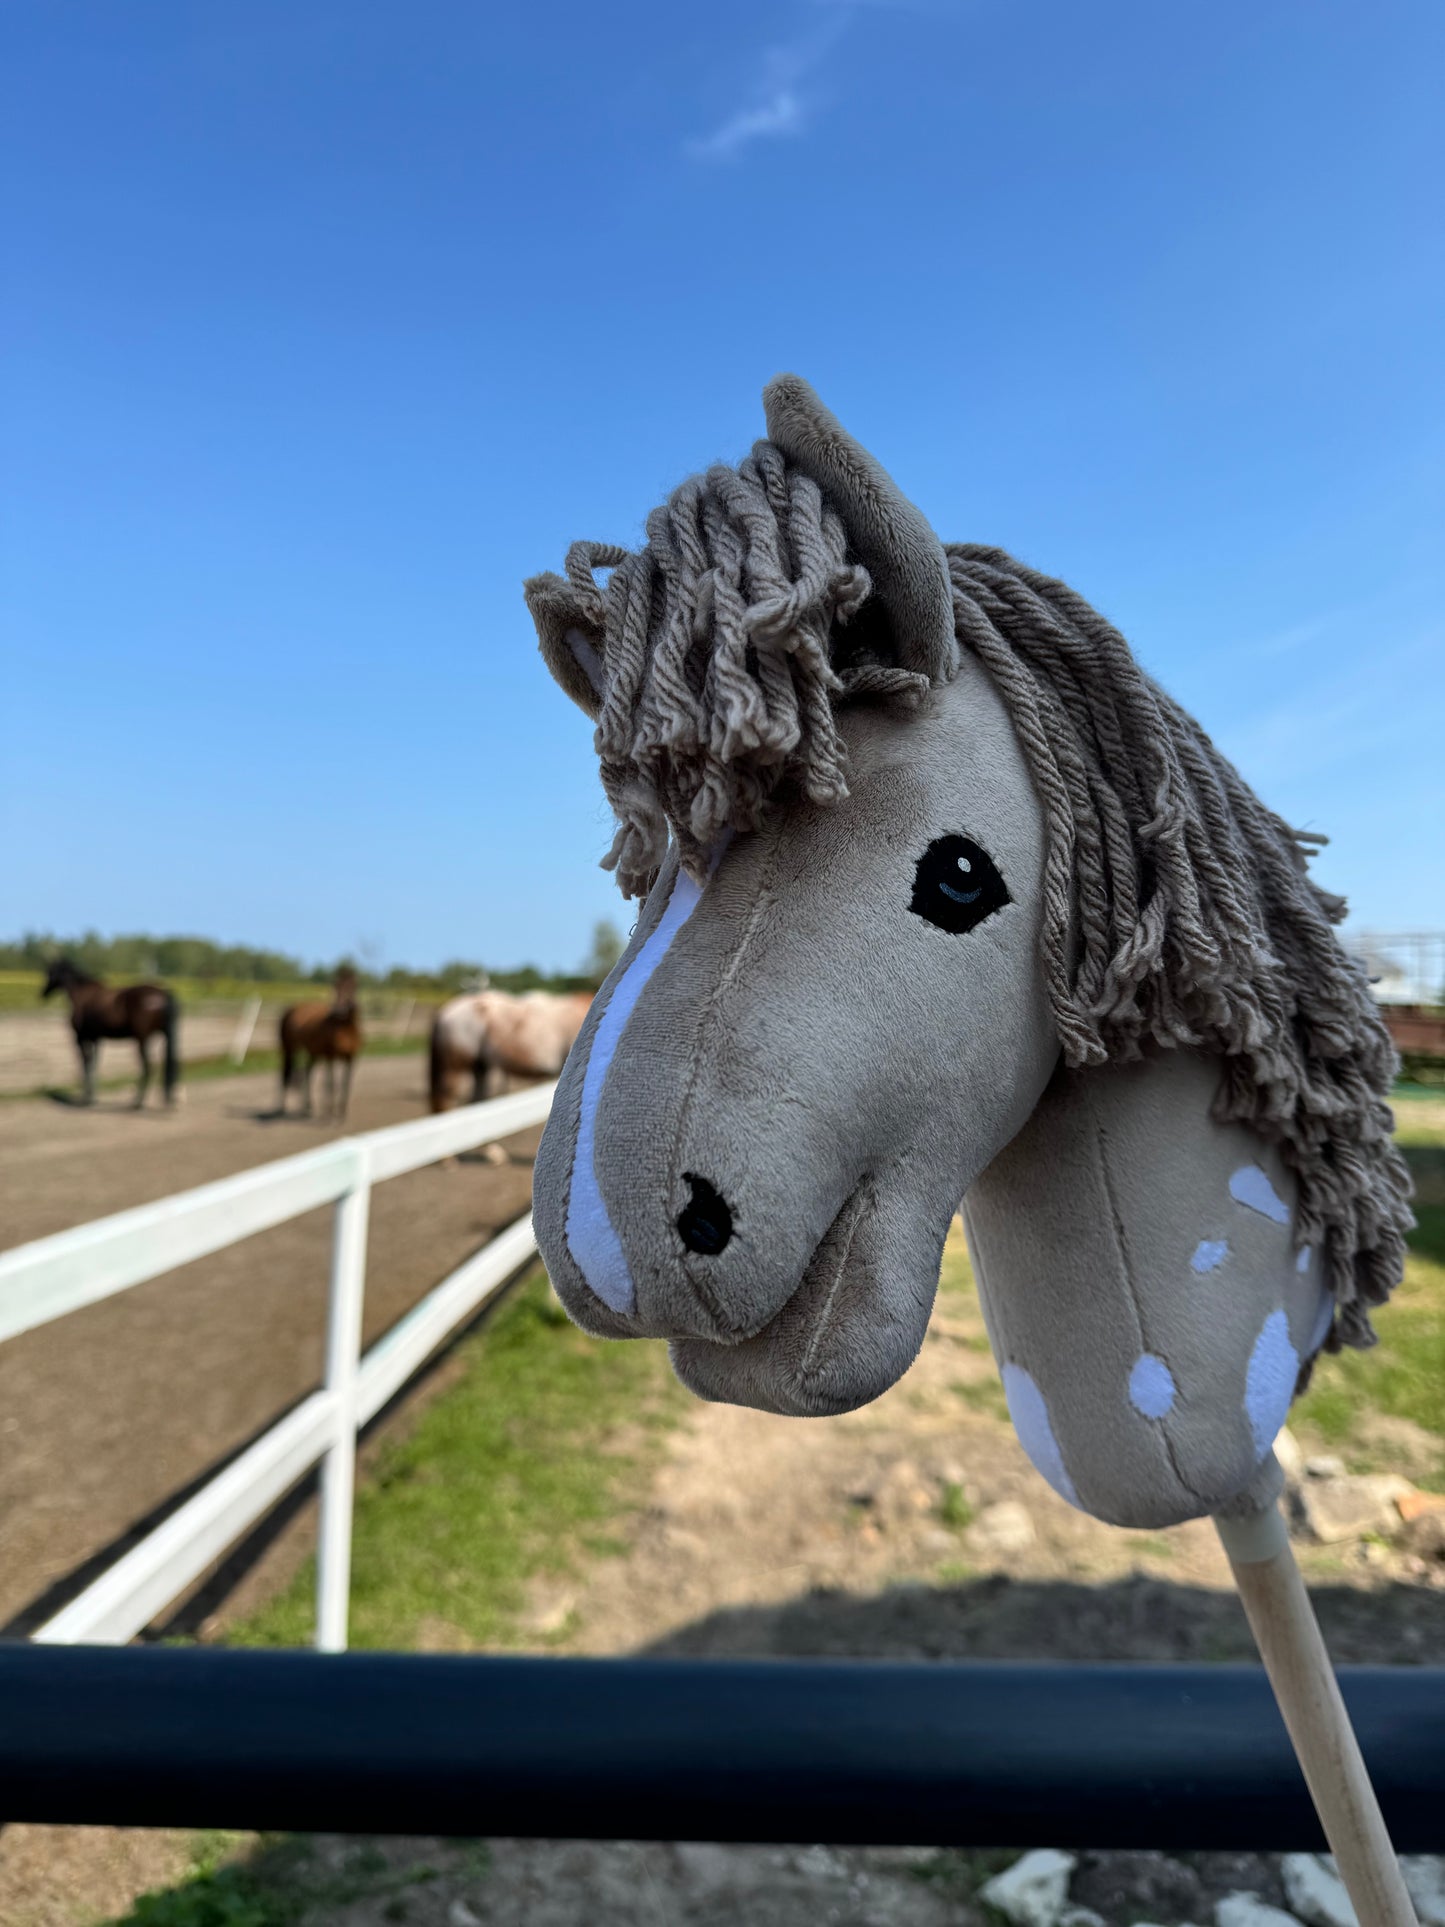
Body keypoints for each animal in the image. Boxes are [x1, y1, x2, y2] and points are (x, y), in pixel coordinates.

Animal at [41, 958, 180, 1108]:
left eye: (50, 972)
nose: (43, 993)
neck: (82, 994)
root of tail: (163, 994)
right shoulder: (95, 1039)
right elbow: (94, 1065)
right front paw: (92, 1098)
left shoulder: (80, 1039)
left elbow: (85, 1066)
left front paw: (86, 1098)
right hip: (164, 1037)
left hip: (142, 1040)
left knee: (147, 1068)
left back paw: (137, 1102)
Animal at [278, 968, 362, 1120]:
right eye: (335, 985)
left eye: (353, 985)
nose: (338, 1010)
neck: (345, 1029)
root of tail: (292, 1009)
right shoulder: (331, 1057)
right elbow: (331, 1084)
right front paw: (331, 1114)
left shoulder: (350, 1058)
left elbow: (345, 1084)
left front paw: (342, 1114)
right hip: (289, 1049)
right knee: (286, 1074)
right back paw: (282, 1109)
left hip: (313, 1052)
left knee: (307, 1072)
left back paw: (308, 1107)